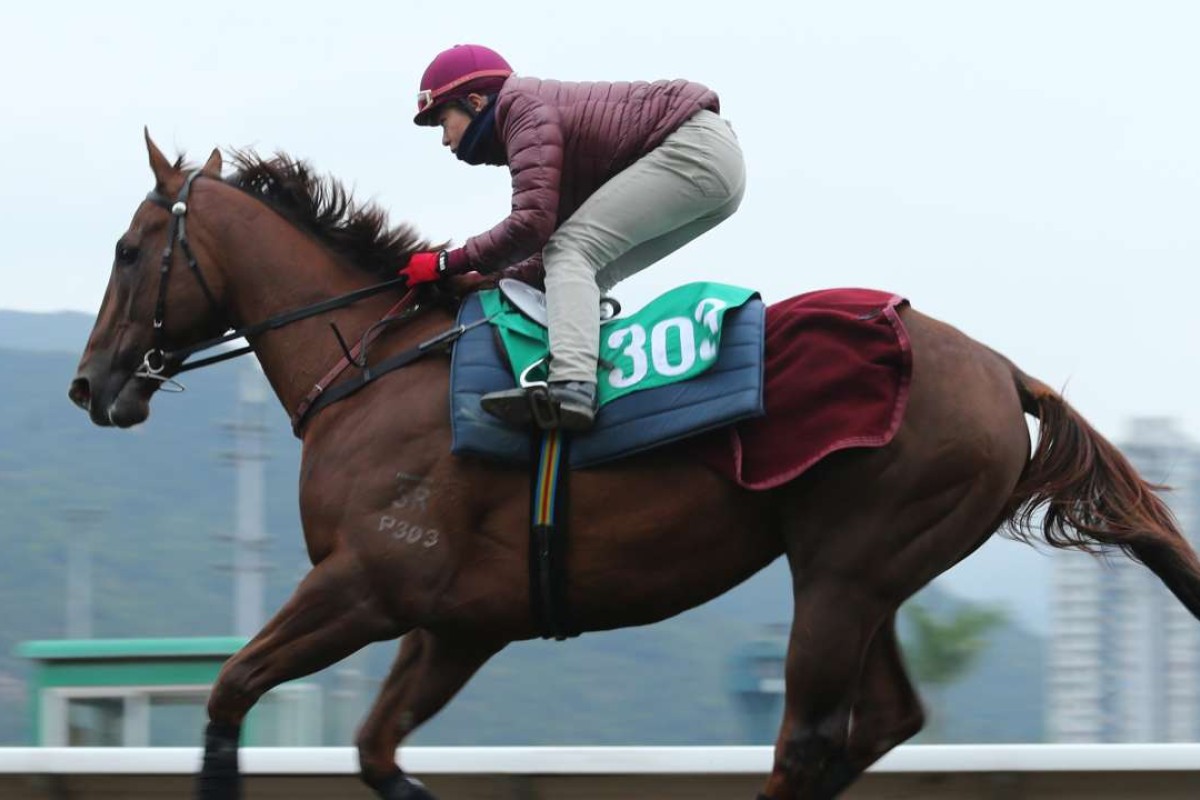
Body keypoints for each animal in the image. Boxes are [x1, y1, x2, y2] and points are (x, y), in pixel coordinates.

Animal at [68, 134, 1200, 796]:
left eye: (127, 251)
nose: (89, 385)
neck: (375, 367)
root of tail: (1003, 368)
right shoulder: (459, 623)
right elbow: (378, 751)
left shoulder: (366, 585)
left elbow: (228, 693)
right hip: (863, 571)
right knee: (880, 720)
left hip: (849, 567)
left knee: (808, 737)